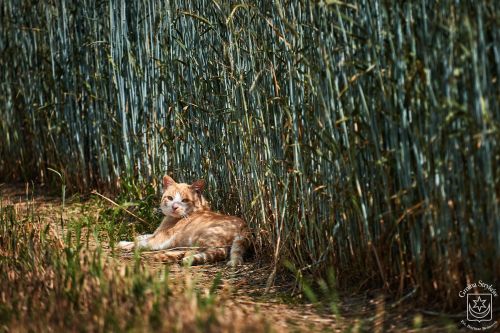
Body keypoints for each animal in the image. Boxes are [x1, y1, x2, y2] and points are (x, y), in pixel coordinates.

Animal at [117, 175, 250, 266]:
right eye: (170, 198)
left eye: (185, 200)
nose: (174, 206)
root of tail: (245, 225)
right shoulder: (156, 234)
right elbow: (142, 236)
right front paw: (127, 241)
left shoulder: (161, 238)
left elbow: (140, 242)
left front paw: (125, 245)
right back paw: (168, 256)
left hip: (204, 236)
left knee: (217, 251)